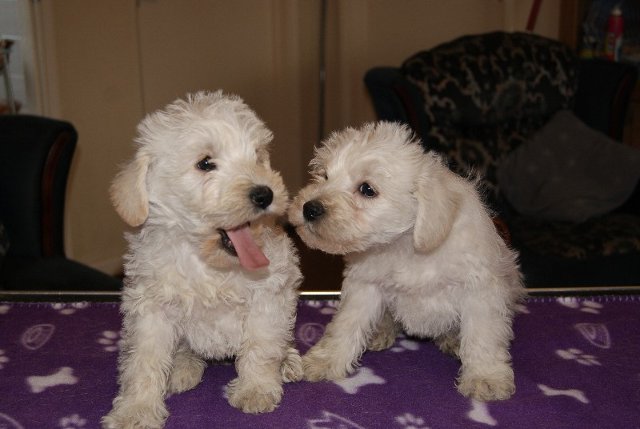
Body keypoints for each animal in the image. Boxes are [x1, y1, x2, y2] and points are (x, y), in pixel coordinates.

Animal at [104, 90, 304, 428]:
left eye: (257, 157)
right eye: (206, 163)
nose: (265, 194)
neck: (208, 263)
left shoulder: (269, 296)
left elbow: (261, 346)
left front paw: (256, 390)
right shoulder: (151, 308)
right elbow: (143, 361)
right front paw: (136, 410)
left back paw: (289, 361)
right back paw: (182, 368)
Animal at [290, 121, 524, 402]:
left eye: (367, 189)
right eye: (324, 175)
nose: (309, 208)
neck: (407, 247)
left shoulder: (480, 291)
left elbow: (482, 334)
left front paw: (485, 378)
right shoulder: (365, 286)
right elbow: (346, 324)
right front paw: (325, 361)